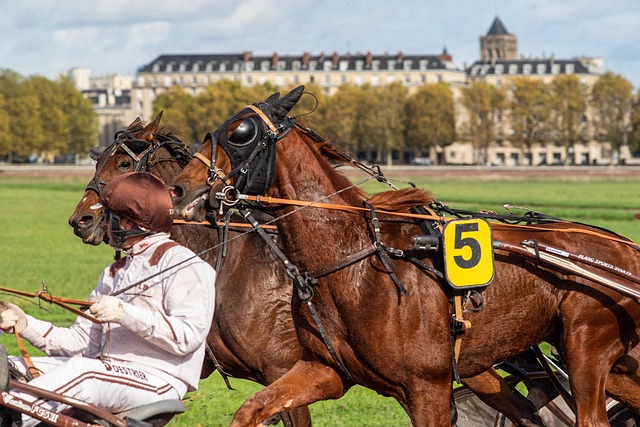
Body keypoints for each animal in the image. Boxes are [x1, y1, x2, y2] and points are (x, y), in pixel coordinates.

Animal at [170, 85, 640, 427]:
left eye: (240, 133)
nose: (178, 188)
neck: (355, 262)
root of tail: (623, 249)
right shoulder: (323, 369)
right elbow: (252, 409)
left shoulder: (427, 389)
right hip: (609, 360)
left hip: (585, 346)